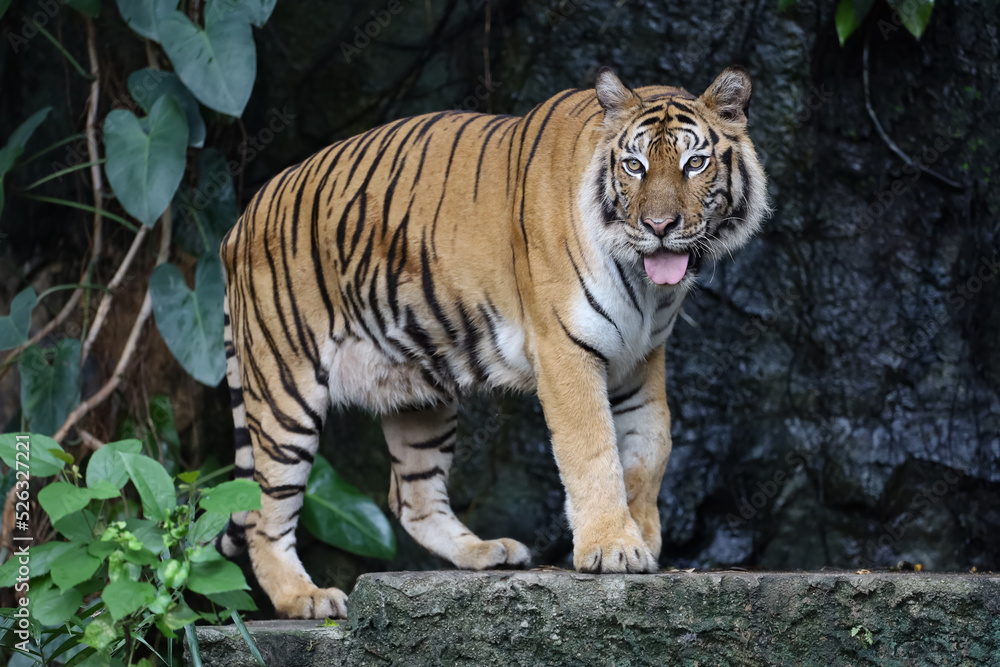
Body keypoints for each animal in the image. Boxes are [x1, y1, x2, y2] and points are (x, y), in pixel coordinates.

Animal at [215, 66, 769, 619]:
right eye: (634, 166)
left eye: (695, 163)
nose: (658, 227)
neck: (648, 286)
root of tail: (239, 222)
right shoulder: (565, 350)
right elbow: (593, 450)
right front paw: (613, 547)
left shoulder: (642, 358)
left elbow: (651, 445)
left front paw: (644, 537)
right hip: (286, 390)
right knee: (261, 513)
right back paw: (305, 597)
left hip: (418, 392)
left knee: (412, 499)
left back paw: (486, 552)